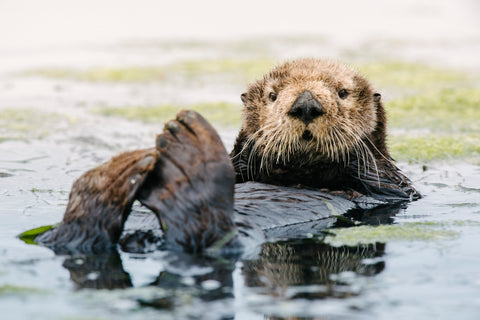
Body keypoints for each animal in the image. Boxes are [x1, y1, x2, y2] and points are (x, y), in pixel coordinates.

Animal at [31, 58, 420, 254]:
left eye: (342, 92)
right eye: (273, 95)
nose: (306, 104)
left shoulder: (393, 188)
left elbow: (379, 177)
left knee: (205, 235)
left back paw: (187, 155)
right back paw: (111, 177)